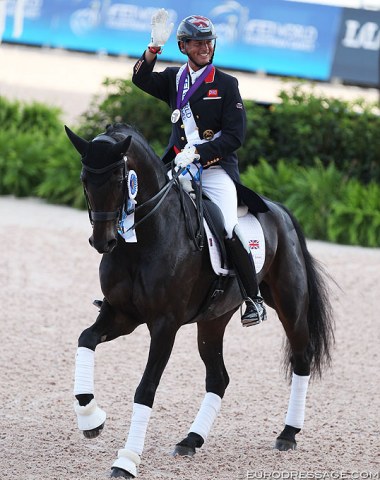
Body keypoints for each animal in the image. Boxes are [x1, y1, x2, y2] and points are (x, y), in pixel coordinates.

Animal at [67, 122, 334, 478]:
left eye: (119, 178)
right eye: (85, 179)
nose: (103, 241)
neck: (144, 239)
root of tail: (279, 210)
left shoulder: (164, 325)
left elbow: (146, 389)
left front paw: (126, 460)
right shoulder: (120, 314)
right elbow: (85, 339)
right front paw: (91, 417)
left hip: (290, 305)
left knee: (301, 358)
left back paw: (288, 434)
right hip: (213, 320)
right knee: (218, 378)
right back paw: (191, 440)